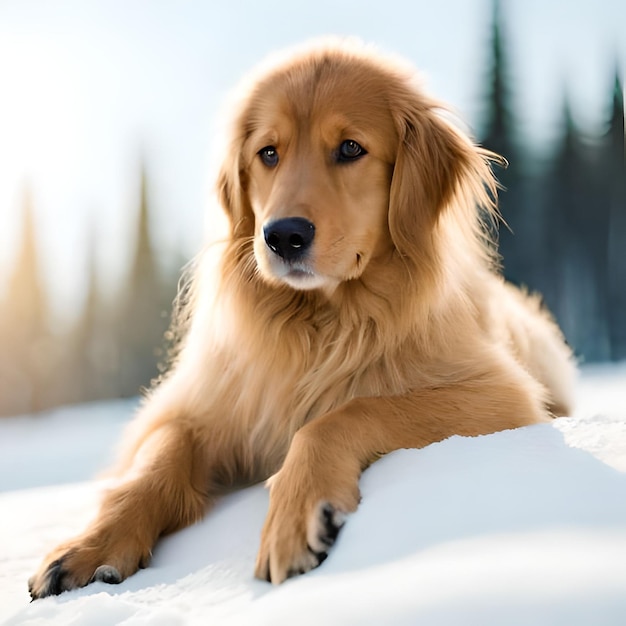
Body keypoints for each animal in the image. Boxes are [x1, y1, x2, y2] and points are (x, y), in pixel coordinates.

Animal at [29, 39, 576, 596]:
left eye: (351, 149)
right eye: (268, 153)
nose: (283, 235)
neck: (317, 325)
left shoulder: (500, 393)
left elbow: (343, 415)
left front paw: (295, 517)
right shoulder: (205, 403)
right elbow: (156, 460)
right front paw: (92, 544)